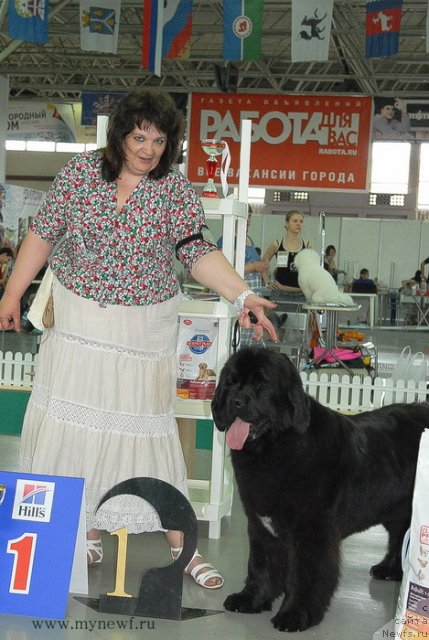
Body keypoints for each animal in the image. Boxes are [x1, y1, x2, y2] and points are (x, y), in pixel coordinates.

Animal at [211, 348, 428, 632]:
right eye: (232, 381)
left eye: (260, 384)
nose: (235, 401)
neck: (277, 448)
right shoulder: (260, 524)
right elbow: (261, 565)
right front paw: (250, 599)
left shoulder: (311, 530)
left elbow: (306, 574)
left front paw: (295, 615)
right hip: (398, 510)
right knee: (399, 538)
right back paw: (389, 570)